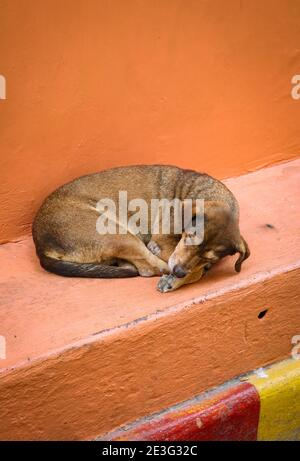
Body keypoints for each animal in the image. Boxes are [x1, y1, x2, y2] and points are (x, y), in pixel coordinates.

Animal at [31, 165, 250, 292]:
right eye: (189, 237)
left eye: (209, 256)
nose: (179, 272)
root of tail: (40, 245)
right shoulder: (165, 242)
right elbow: (185, 265)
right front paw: (175, 278)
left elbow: (198, 267)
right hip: (117, 234)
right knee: (148, 267)